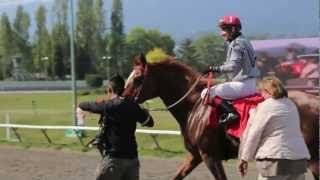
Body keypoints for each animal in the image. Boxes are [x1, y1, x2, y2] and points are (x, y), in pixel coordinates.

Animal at [124, 55, 318, 180]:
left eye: (138, 78)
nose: (123, 99)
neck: (195, 106)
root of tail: (315, 101)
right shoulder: (195, 155)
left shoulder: (210, 156)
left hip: (312, 158)